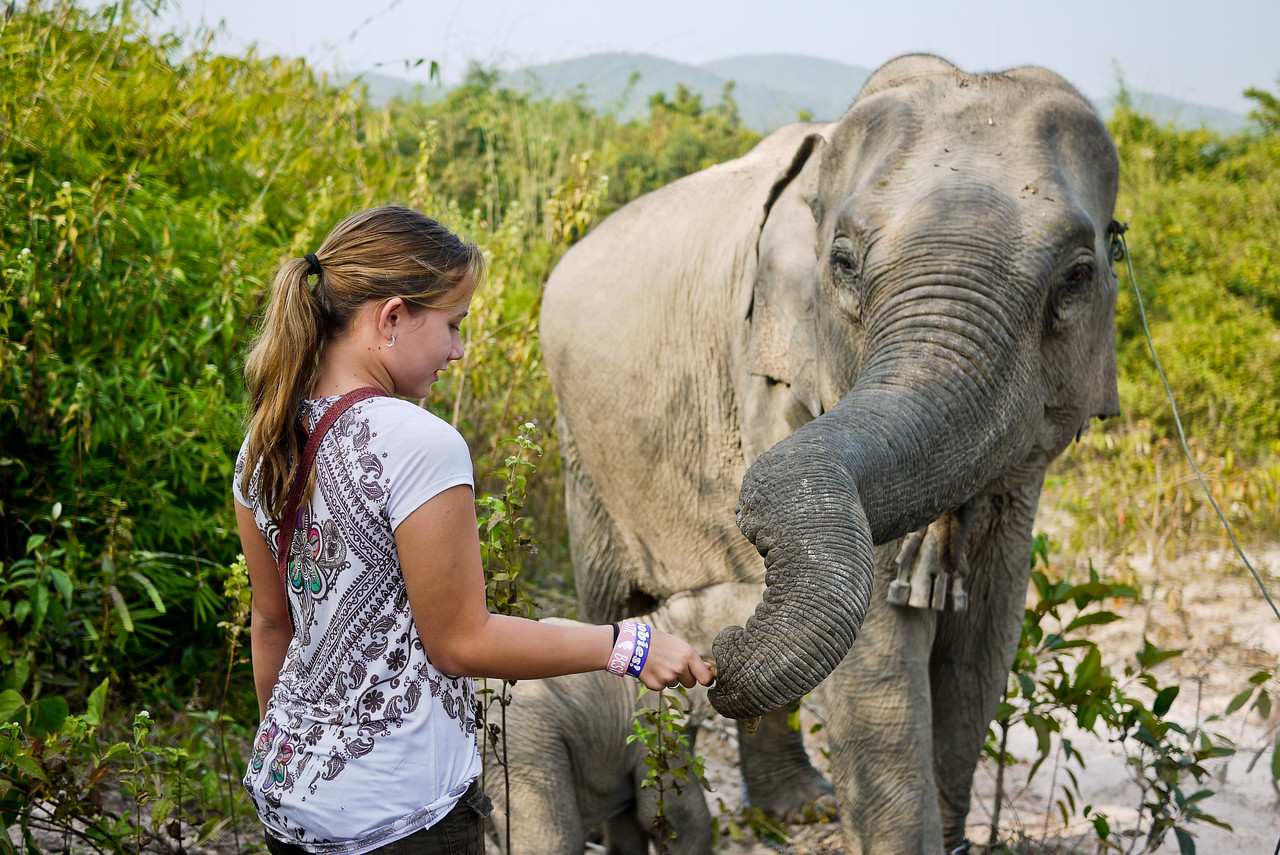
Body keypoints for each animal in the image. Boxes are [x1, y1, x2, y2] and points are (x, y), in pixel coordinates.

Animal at [479, 583, 764, 855]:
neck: (665, 618)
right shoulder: (657, 722)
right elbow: (680, 816)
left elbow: (628, 830)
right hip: (527, 744)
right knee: (557, 842)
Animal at [540, 55, 1121, 853]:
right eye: (843, 263)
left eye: (1078, 275)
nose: (719, 656)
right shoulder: (772, 364)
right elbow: (876, 635)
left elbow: (987, 627)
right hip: (582, 445)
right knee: (612, 593)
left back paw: (797, 810)